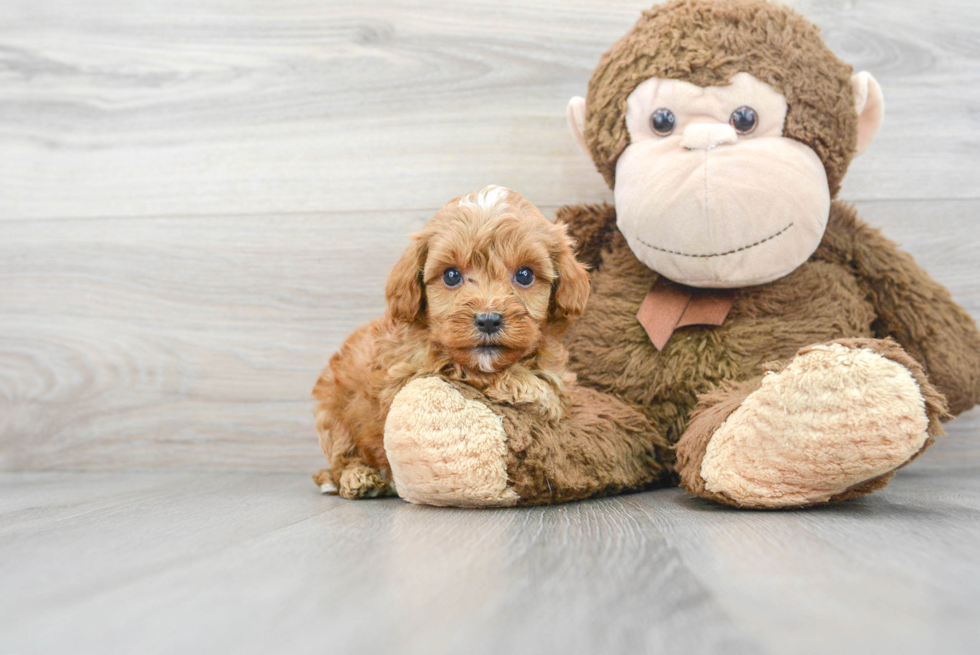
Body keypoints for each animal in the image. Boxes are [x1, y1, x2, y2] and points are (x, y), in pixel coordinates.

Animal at [314, 187, 588, 500]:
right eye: (452, 275)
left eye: (525, 274)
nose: (488, 320)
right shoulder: (406, 375)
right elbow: (463, 368)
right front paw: (533, 388)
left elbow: (556, 384)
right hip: (333, 415)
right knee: (341, 459)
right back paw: (359, 478)